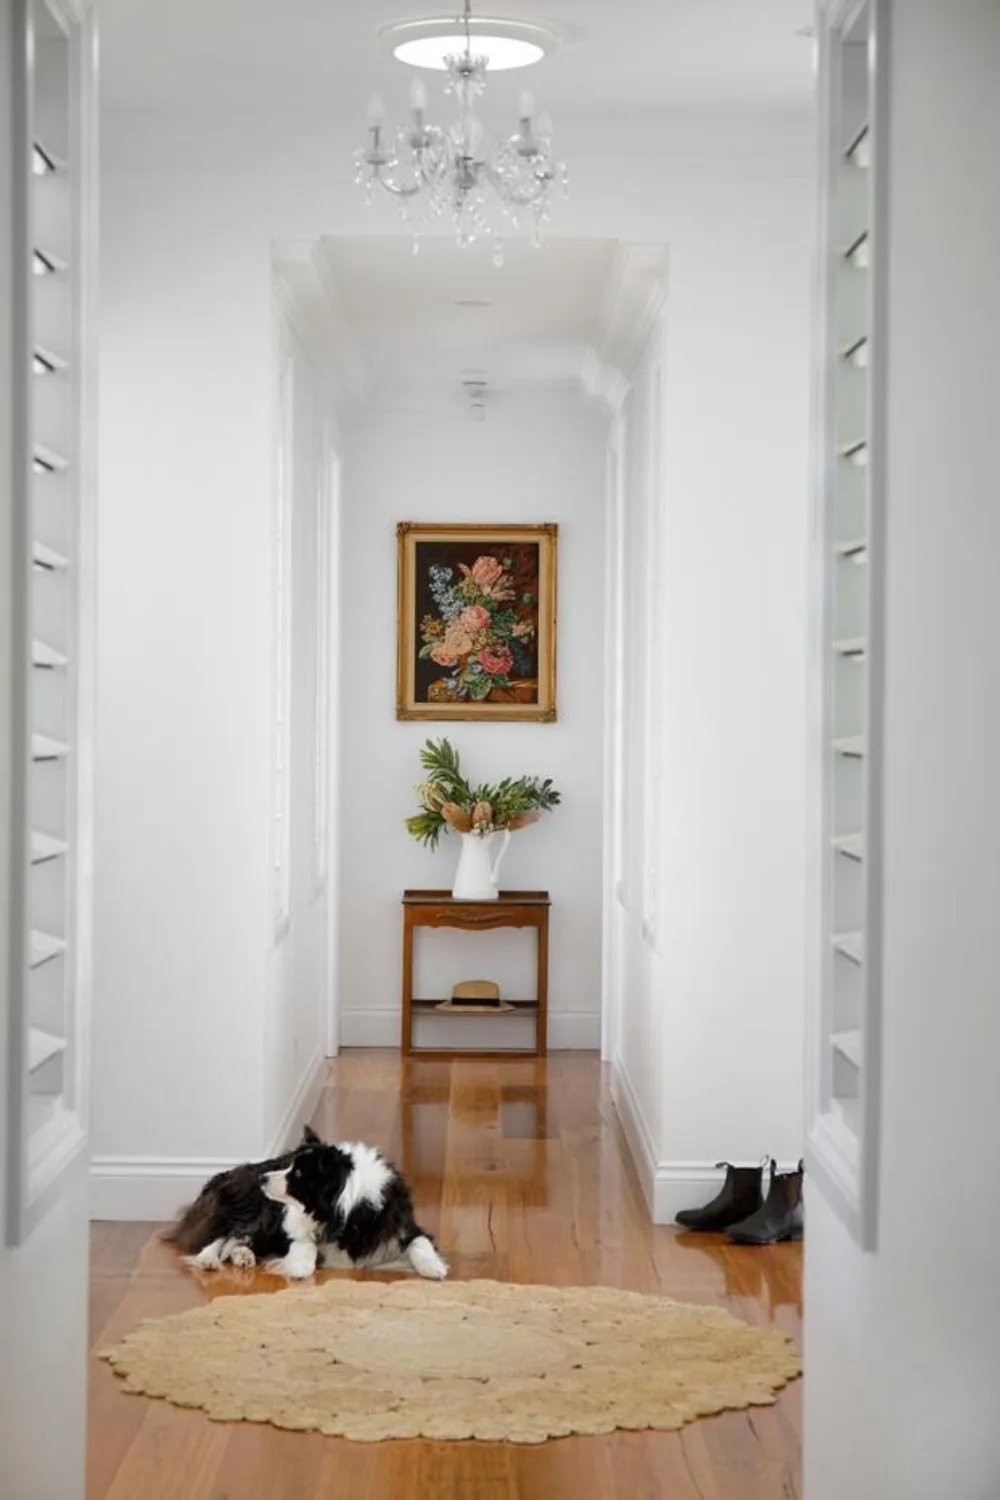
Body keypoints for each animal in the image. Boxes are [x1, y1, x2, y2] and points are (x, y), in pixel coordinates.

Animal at [166, 1128, 446, 1284]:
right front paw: (299, 1268)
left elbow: (420, 1244)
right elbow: (306, 1244)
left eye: (299, 1174)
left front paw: (434, 1268)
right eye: (290, 1165)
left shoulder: (404, 1227)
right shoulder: (291, 1224)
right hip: (257, 1213)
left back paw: (243, 1257)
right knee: (221, 1235)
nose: (263, 1179)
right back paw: (209, 1260)